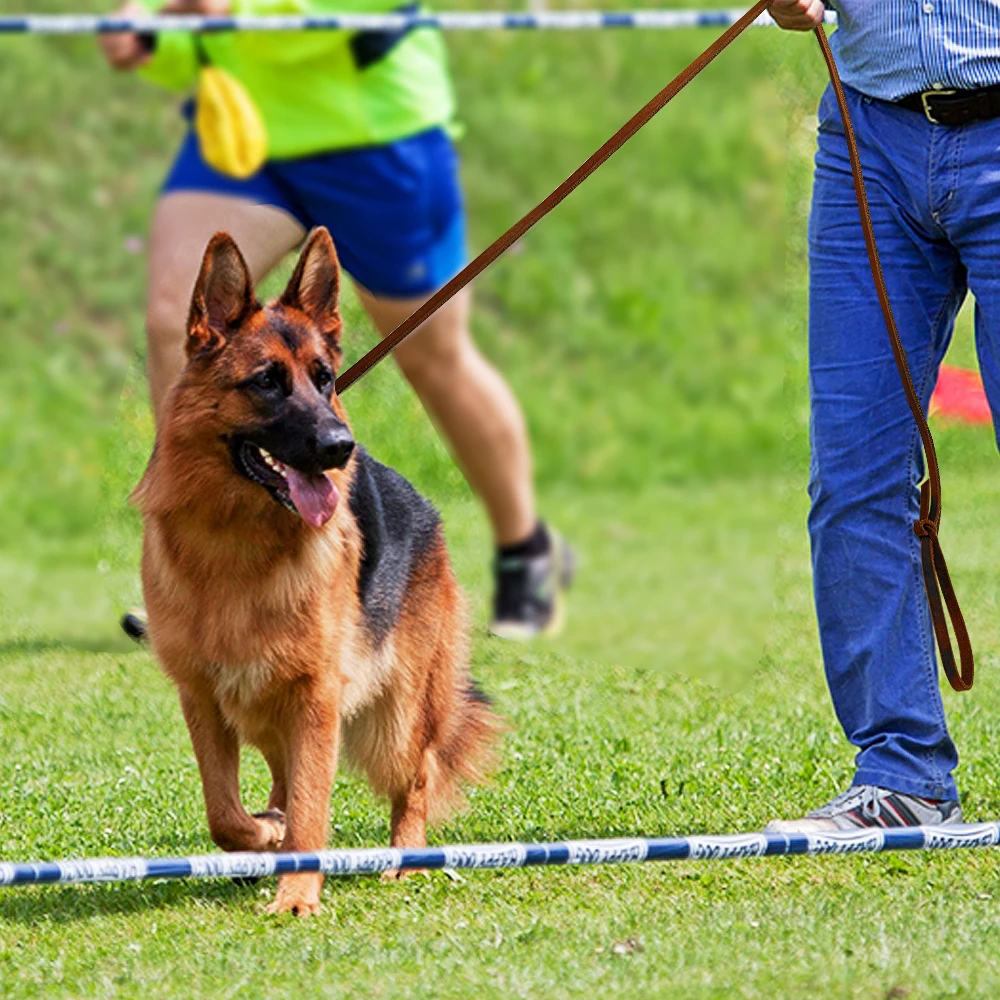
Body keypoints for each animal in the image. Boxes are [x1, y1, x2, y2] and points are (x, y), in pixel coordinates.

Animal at [135, 230, 500, 916]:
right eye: (267, 383)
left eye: (324, 379)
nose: (339, 448)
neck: (236, 543)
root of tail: (425, 506)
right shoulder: (203, 698)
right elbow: (226, 814)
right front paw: (264, 837)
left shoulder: (315, 700)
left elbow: (309, 809)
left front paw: (297, 893)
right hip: (275, 712)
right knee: (284, 779)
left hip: (394, 716)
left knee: (416, 775)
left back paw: (404, 861)